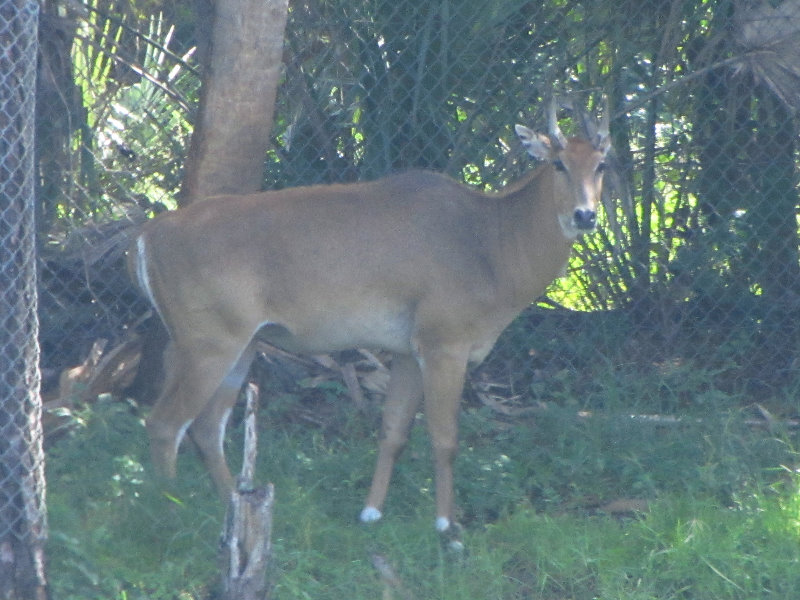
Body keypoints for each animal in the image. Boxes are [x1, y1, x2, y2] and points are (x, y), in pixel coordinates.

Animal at [128, 98, 608, 536]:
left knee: (207, 426)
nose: (585, 214)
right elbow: (445, 438)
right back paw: (170, 514)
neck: (490, 243)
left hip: (242, 343)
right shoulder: (445, 343)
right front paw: (447, 528)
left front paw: (370, 513)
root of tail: (148, 235)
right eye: (559, 163)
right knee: (165, 422)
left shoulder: (408, 350)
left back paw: (232, 509)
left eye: (602, 164)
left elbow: (393, 431)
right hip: (208, 341)